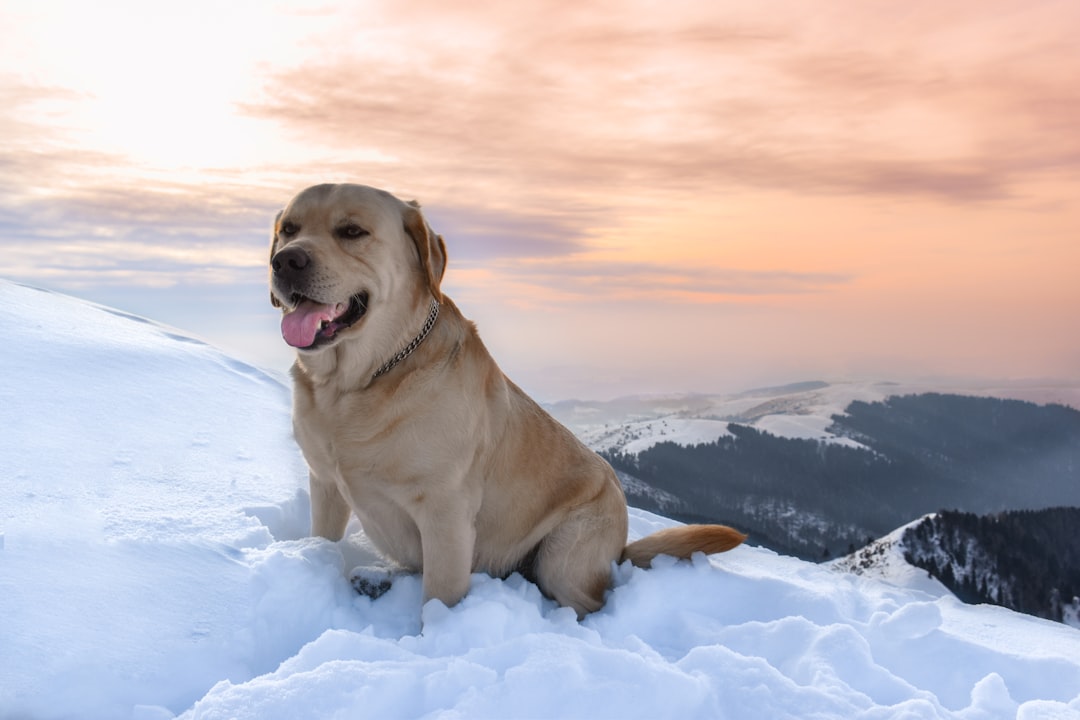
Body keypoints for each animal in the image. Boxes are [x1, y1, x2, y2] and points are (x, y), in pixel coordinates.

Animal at [272, 183, 743, 617]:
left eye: (352, 231)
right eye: (288, 229)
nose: (286, 261)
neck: (358, 383)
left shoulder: (446, 514)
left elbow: (439, 598)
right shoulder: (325, 485)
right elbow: (323, 537)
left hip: (564, 553)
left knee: (587, 602)